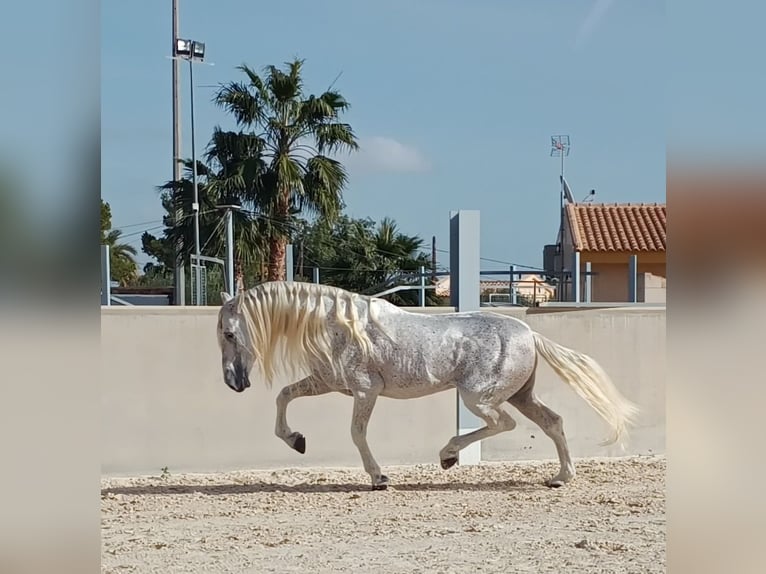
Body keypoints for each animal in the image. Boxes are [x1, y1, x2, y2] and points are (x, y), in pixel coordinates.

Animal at [218, 282, 640, 492]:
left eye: (228, 332)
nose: (233, 383)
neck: (340, 325)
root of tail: (530, 333)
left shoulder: (364, 390)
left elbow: (357, 433)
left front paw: (379, 479)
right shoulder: (327, 383)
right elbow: (284, 396)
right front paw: (297, 441)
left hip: (479, 397)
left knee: (503, 424)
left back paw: (448, 455)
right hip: (520, 395)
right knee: (552, 422)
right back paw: (559, 478)